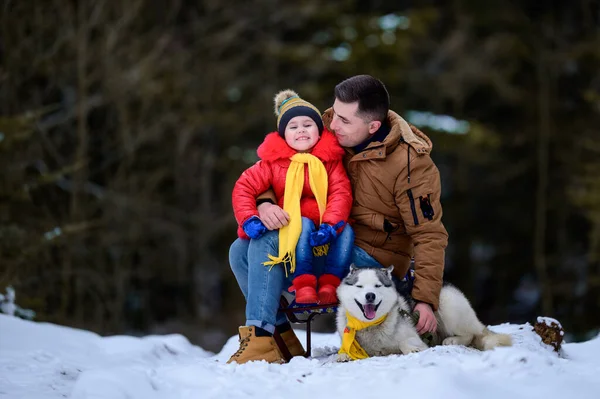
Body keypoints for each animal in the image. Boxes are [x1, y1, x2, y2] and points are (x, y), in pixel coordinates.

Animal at [338, 266, 510, 362]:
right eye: (359, 286)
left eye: (377, 286)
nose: (370, 296)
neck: (369, 325)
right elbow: (344, 350)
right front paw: (343, 355)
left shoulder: (414, 337)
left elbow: (404, 343)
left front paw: (412, 349)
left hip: (448, 303)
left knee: (471, 334)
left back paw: (453, 340)